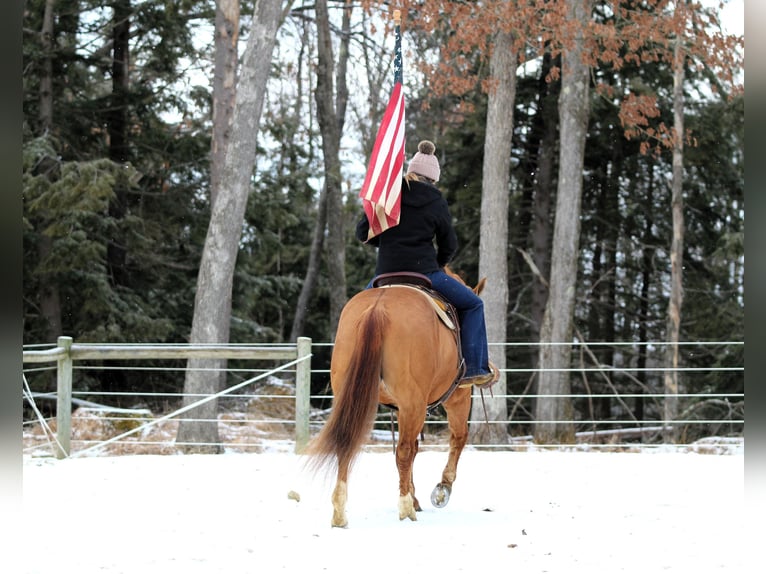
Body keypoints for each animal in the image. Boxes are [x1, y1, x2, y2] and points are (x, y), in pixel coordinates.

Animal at [306, 270, 486, 532]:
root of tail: (377, 308)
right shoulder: (457, 397)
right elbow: (458, 438)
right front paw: (442, 489)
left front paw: (416, 495)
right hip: (417, 404)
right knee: (405, 451)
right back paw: (405, 508)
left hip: (355, 400)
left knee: (348, 443)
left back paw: (340, 512)